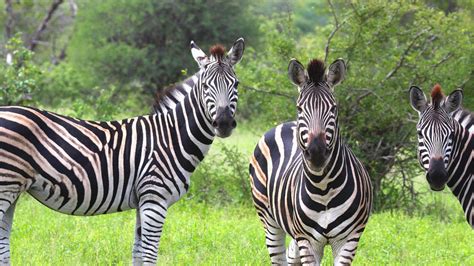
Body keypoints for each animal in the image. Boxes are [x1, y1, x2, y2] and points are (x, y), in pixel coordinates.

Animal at [0, 37, 246, 264]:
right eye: (205, 86)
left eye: (236, 84)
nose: (224, 123)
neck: (171, 138)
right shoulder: (155, 199)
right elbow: (149, 255)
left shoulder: (143, 200)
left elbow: (137, 253)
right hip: (6, 185)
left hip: (13, 190)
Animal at [250, 57, 372, 264]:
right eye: (299, 108)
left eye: (334, 108)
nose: (316, 153)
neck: (323, 189)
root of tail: (285, 124)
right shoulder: (308, 240)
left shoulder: (349, 239)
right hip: (269, 219)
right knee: (279, 258)